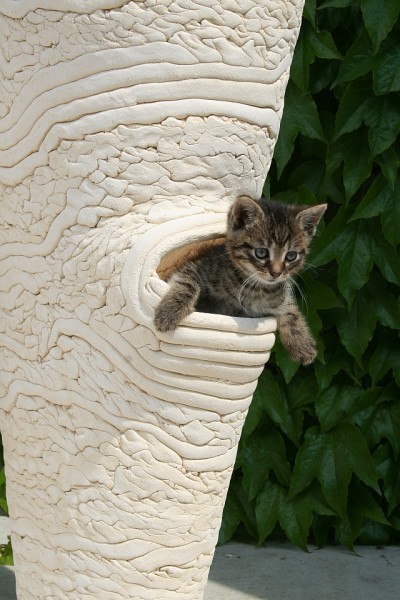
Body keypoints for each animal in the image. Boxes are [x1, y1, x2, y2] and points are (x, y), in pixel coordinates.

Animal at [154, 196, 327, 365]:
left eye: (291, 256)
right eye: (261, 252)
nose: (276, 273)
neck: (255, 286)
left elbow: (290, 311)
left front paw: (302, 343)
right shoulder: (196, 267)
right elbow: (188, 284)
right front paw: (169, 312)